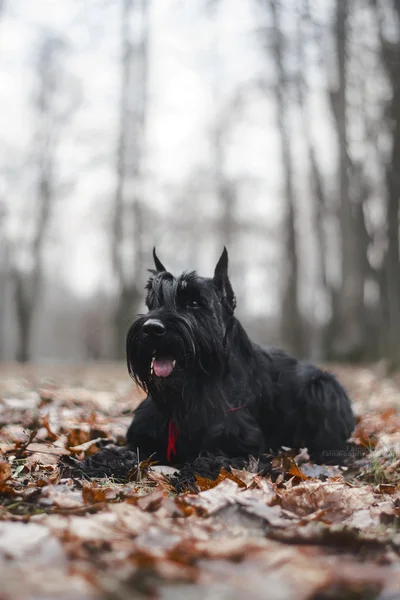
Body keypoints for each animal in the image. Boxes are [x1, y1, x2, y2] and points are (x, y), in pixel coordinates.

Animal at [124, 246, 354, 472]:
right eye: (153, 302)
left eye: (194, 303)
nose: (151, 328)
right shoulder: (142, 438)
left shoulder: (241, 449)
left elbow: (210, 461)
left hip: (322, 387)